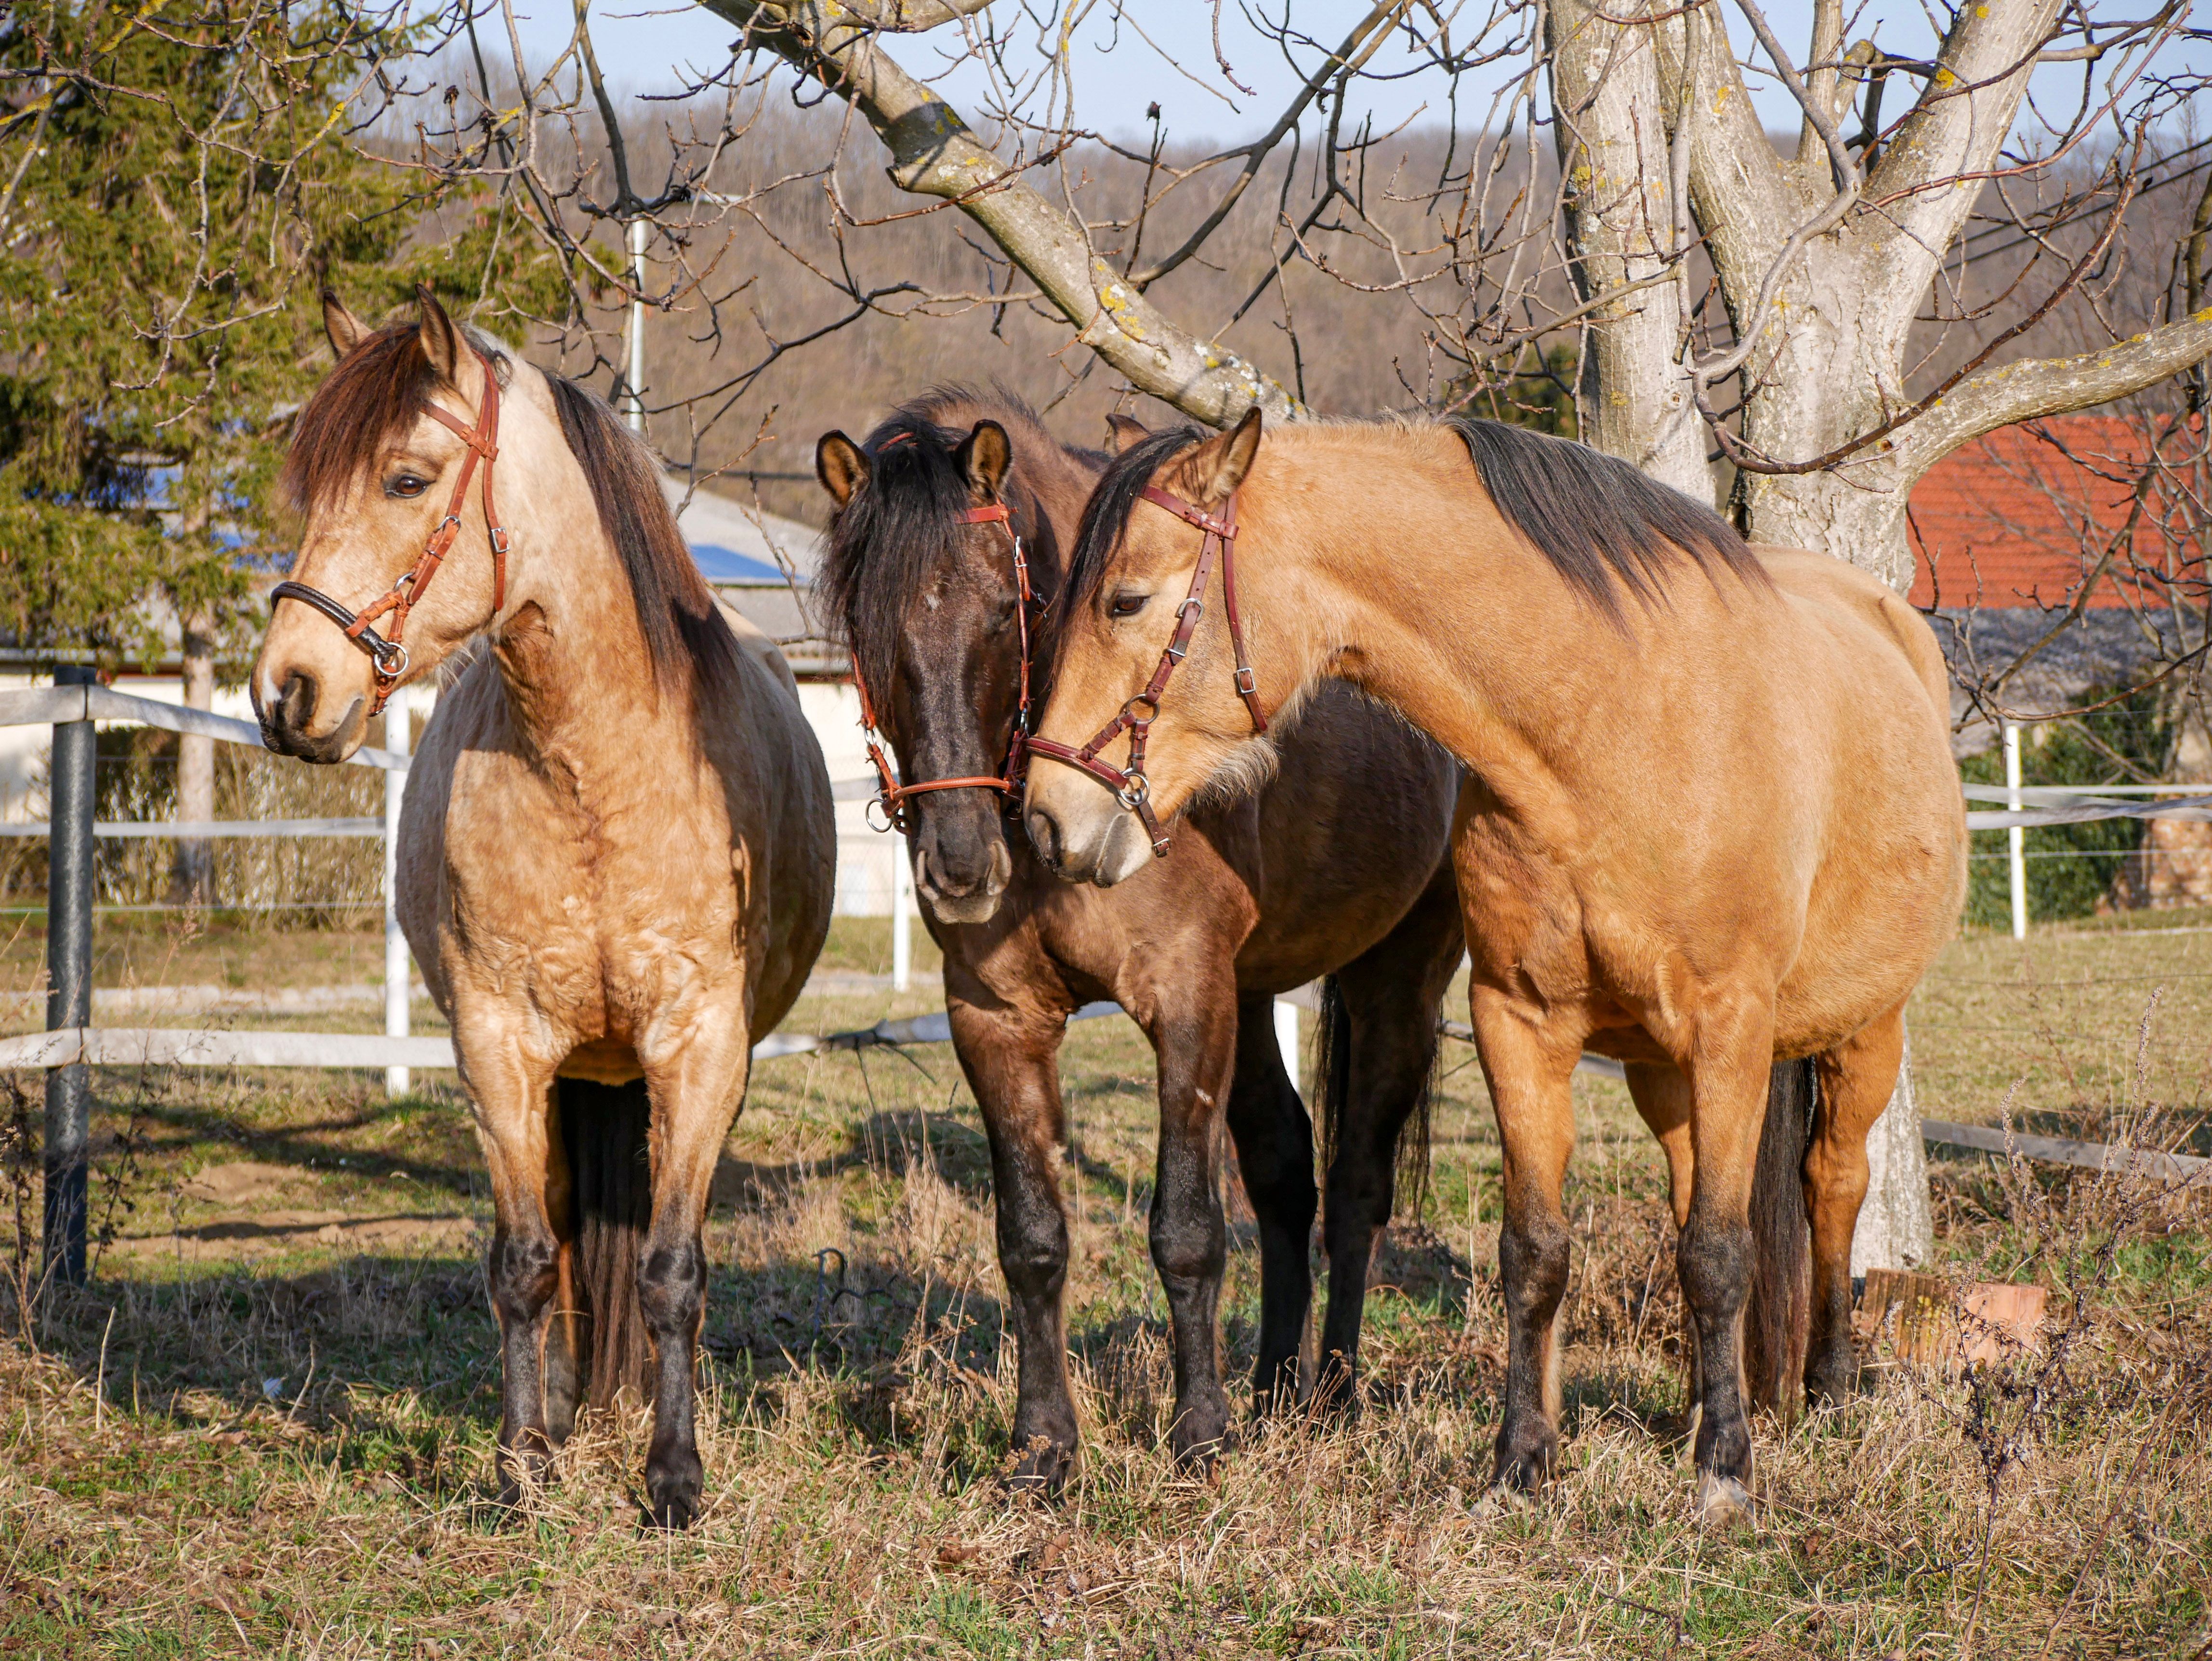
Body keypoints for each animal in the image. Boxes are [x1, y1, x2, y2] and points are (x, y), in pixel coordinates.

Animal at [253, 289, 835, 1527]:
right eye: (309, 484)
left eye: (406, 478)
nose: (287, 692)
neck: (594, 765)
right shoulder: (498, 1044)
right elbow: (523, 1261)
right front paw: (524, 1463)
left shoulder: (698, 1049)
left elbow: (673, 1268)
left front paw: (673, 1476)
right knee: (566, 1242)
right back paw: (568, 1413)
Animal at [812, 390, 1467, 1480]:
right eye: (863, 626)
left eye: (1002, 612)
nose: (961, 863)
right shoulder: (996, 1018)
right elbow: (1032, 1235)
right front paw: (1043, 1443)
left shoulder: (1185, 995)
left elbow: (1188, 1229)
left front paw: (1198, 1434)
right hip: (1255, 991)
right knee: (1284, 1170)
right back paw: (1273, 1388)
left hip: (1397, 979)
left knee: (1355, 1186)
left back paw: (1331, 1397)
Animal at [1022, 411, 1967, 1519]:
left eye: (1125, 598)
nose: (1046, 818)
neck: (1612, 727)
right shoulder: (1520, 1024)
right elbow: (1539, 1250)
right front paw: (1522, 1459)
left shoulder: (1730, 1028)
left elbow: (1721, 1251)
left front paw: (1725, 1475)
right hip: (1662, 1072)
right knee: (1692, 1193)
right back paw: (1702, 1399)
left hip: (1863, 1032)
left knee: (1829, 1188)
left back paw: (1822, 1388)